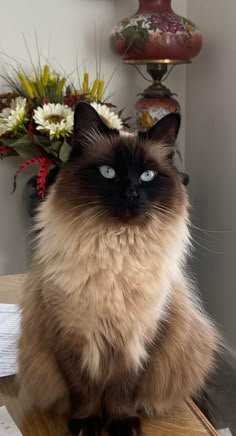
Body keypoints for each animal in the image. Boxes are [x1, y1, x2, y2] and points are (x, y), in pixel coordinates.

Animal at [18, 103, 218, 436]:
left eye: (147, 176)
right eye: (108, 173)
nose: (131, 194)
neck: (117, 248)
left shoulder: (138, 338)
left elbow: (122, 391)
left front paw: (121, 425)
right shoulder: (71, 336)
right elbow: (83, 390)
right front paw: (87, 424)